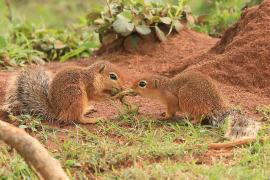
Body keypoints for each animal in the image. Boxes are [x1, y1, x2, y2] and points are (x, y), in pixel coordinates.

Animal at [131, 71, 262, 141]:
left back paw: (190, 122)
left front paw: (165, 117)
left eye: (142, 84)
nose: (130, 87)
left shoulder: (172, 100)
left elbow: (171, 111)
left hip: (187, 98)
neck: (163, 88)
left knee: (199, 117)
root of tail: (214, 103)